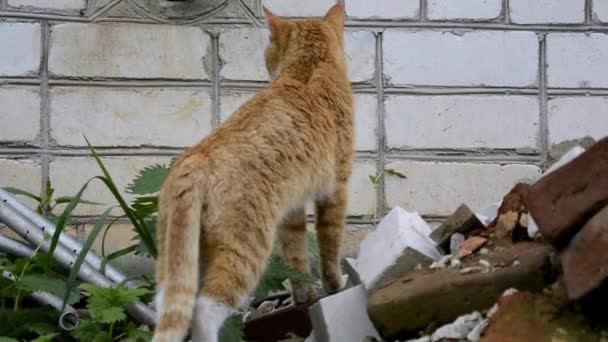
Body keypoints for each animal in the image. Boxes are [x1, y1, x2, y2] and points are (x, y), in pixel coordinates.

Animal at [151, 5, 352, 342]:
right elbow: (330, 246)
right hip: (246, 248)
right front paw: (335, 286)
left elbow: (297, 257)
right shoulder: (336, 189)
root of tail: (195, 159)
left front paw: (305, 297)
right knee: (205, 308)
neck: (309, 67)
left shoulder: (292, 209)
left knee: (173, 306)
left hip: (179, 256)